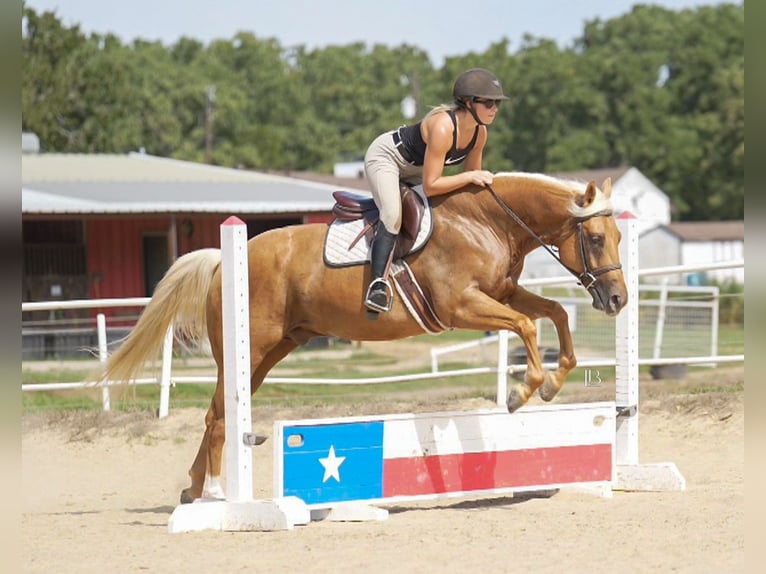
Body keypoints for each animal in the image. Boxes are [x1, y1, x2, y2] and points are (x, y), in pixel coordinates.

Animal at [101, 172, 627, 503]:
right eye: (596, 239)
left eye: (620, 239)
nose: (619, 299)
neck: (486, 222)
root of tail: (222, 261)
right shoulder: (462, 306)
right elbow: (525, 325)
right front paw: (524, 391)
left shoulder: (503, 293)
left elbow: (552, 313)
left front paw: (555, 381)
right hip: (246, 350)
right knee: (216, 416)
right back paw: (213, 493)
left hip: (269, 354)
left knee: (221, 413)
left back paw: (193, 491)